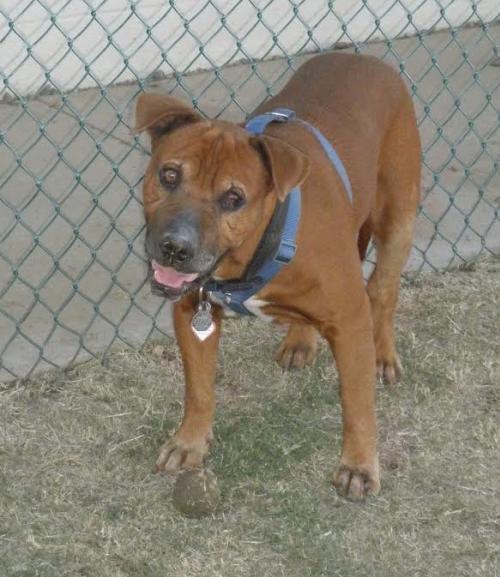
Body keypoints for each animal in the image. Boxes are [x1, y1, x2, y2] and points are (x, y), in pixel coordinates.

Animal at [135, 55, 420, 504]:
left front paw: (358, 465)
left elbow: (357, 403)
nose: (175, 248)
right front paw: (190, 441)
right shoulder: (192, 313)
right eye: (168, 175)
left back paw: (384, 355)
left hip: (398, 221)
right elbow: (198, 389)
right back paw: (300, 340)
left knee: (383, 291)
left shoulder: (351, 320)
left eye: (233, 198)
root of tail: (367, 58)